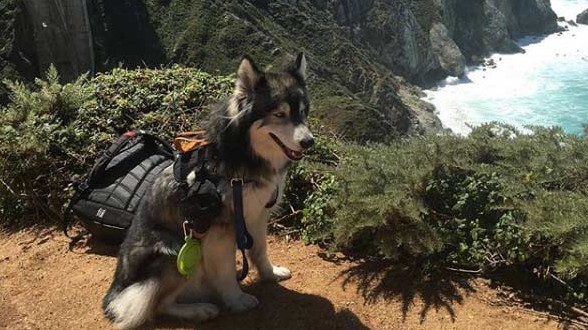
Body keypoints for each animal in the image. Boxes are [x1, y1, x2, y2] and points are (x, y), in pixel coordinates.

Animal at [102, 52, 312, 328]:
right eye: (279, 114)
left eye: (303, 113)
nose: (309, 141)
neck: (243, 156)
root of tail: (115, 294)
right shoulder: (219, 229)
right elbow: (225, 272)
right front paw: (237, 300)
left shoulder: (256, 214)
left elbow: (260, 250)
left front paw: (269, 273)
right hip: (172, 252)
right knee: (157, 305)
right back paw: (198, 310)